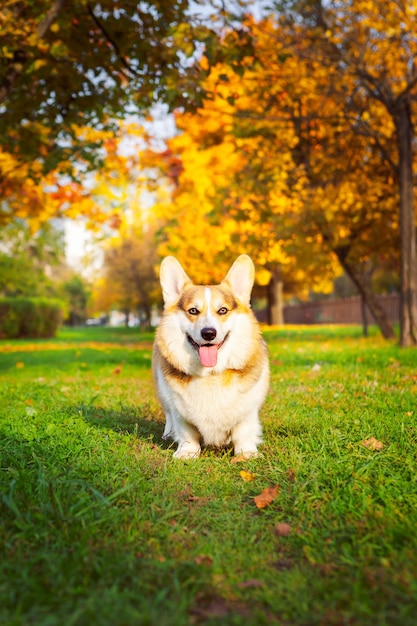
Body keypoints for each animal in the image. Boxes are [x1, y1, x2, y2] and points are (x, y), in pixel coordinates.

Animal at [151, 254, 268, 458]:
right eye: (193, 311)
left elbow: (243, 431)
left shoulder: (248, 410)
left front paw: (246, 454)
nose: (208, 333)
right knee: (168, 415)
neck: (211, 374)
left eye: (222, 310)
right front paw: (187, 453)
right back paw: (168, 433)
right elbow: (186, 432)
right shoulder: (179, 410)